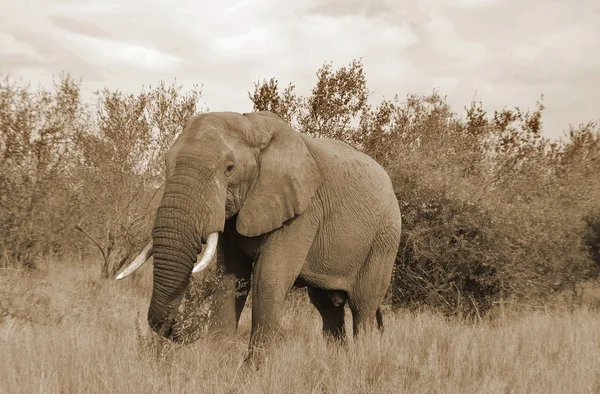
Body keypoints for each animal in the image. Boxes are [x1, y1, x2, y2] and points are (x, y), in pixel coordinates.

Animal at [116, 110, 404, 354]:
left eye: (229, 168)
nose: (182, 329)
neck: (252, 126)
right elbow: (230, 276)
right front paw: (216, 363)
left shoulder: (303, 211)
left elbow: (269, 279)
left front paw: (252, 372)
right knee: (327, 308)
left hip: (384, 239)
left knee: (363, 306)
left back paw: (362, 358)